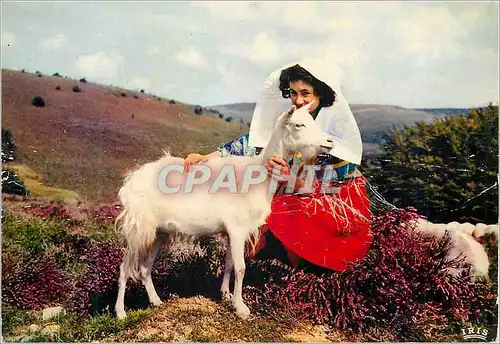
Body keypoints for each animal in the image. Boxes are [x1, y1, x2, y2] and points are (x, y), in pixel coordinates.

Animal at [113, 103, 332, 320]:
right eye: (299, 124)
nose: (329, 142)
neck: (259, 175)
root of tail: (132, 179)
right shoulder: (236, 228)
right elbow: (241, 267)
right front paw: (241, 308)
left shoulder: (232, 232)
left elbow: (229, 264)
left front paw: (226, 295)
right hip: (138, 228)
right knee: (125, 268)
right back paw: (121, 312)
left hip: (159, 232)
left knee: (144, 269)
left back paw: (156, 301)